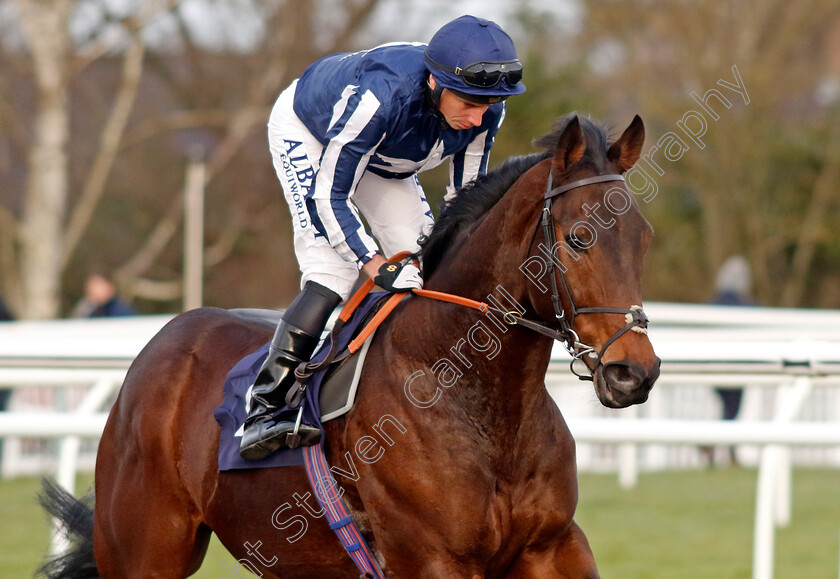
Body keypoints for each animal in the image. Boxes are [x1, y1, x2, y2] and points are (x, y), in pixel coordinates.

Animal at [41, 114, 664, 579]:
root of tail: (163, 343)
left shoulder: (553, 547)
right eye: (578, 238)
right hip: (144, 550)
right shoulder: (433, 558)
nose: (635, 372)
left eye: (643, 238)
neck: (476, 399)